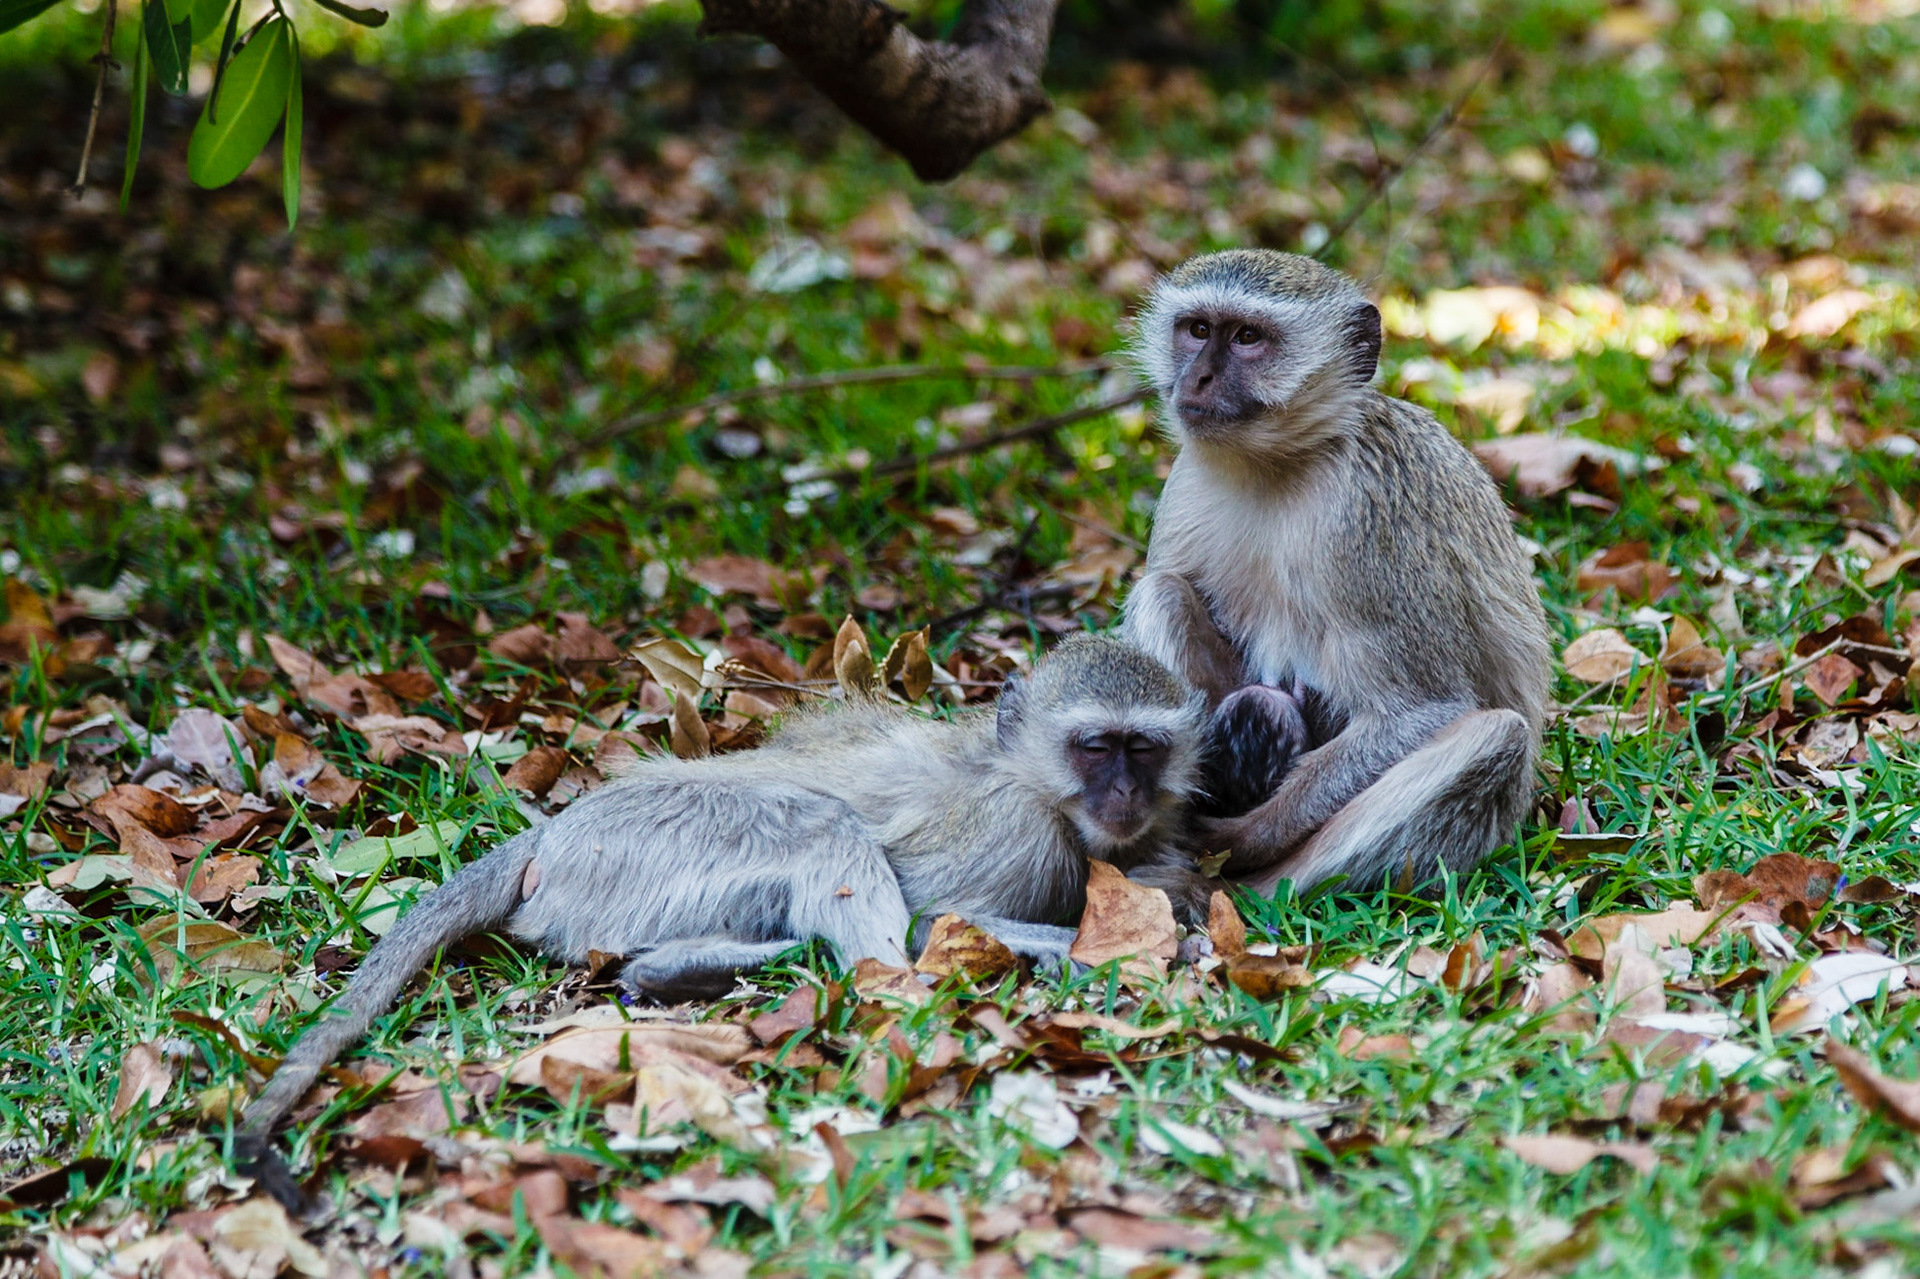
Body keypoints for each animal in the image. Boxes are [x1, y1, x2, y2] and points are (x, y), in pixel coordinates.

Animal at [233, 634, 1208, 1188]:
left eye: (1144, 749)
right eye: (1097, 747)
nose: (1125, 793)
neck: (1026, 778)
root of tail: (557, 831)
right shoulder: (1016, 834)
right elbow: (935, 928)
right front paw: (1107, 944)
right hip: (650, 842)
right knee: (835, 857)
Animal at [1121, 248, 1552, 896]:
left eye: (1247, 338)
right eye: (1197, 330)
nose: (1196, 379)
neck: (1279, 465)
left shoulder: (1368, 520)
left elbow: (1422, 709)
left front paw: (1248, 833)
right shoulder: (1183, 486)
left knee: (1495, 735)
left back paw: (1243, 884)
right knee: (1163, 593)